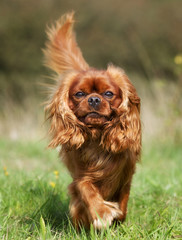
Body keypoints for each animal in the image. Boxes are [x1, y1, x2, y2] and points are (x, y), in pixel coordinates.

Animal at [43, 11, 141, 229]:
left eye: (108, 93)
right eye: (79, 94)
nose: (94, 99)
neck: (97, 138)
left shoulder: (126, 175)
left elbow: (123, 203)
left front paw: (117, 217)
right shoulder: (80, 176)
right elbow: (87, 190)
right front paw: (101, 213)